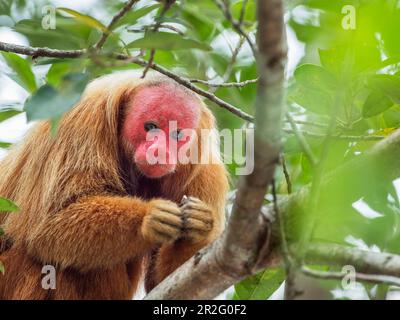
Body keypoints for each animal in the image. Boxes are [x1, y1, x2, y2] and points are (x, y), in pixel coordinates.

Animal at [0, 71, 228, 298]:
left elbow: (171, 283)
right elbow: (47, 225)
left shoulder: (206, 175)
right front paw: (148, 217)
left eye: (177, 133)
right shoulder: (81, 120)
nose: (159, 151)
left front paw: (199, 226)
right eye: (151, 127)